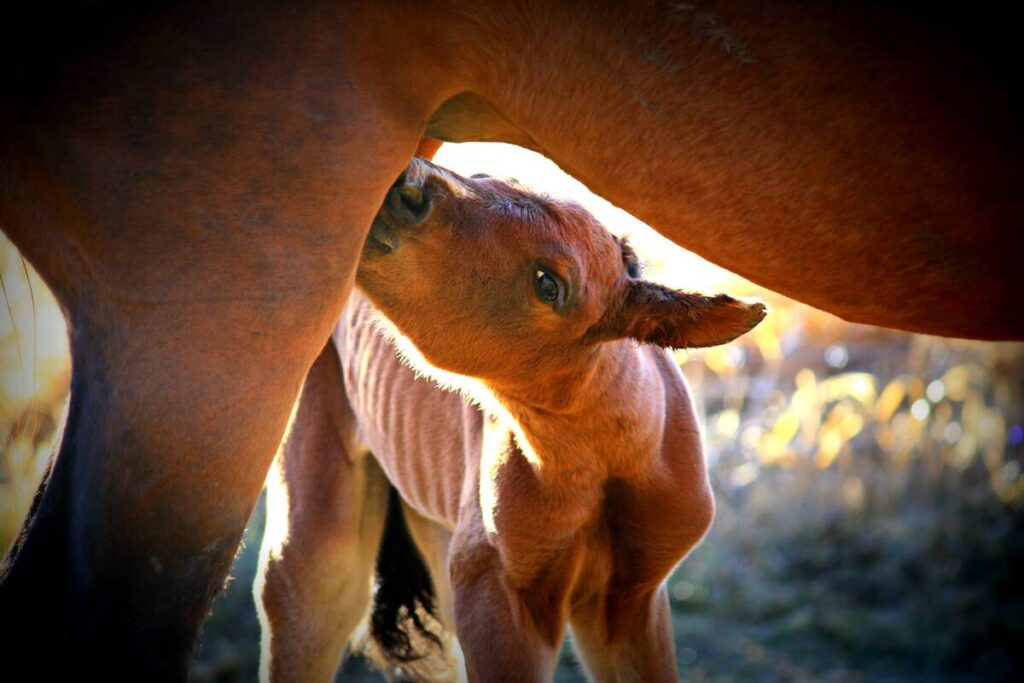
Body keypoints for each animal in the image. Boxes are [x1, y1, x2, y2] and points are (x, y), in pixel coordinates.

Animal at [255, 157, 766, 682]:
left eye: (548, 284)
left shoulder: (631, 602)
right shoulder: (498, 595)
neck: (603, 466)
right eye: (485, 177)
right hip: (320, 541)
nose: (408, 185)